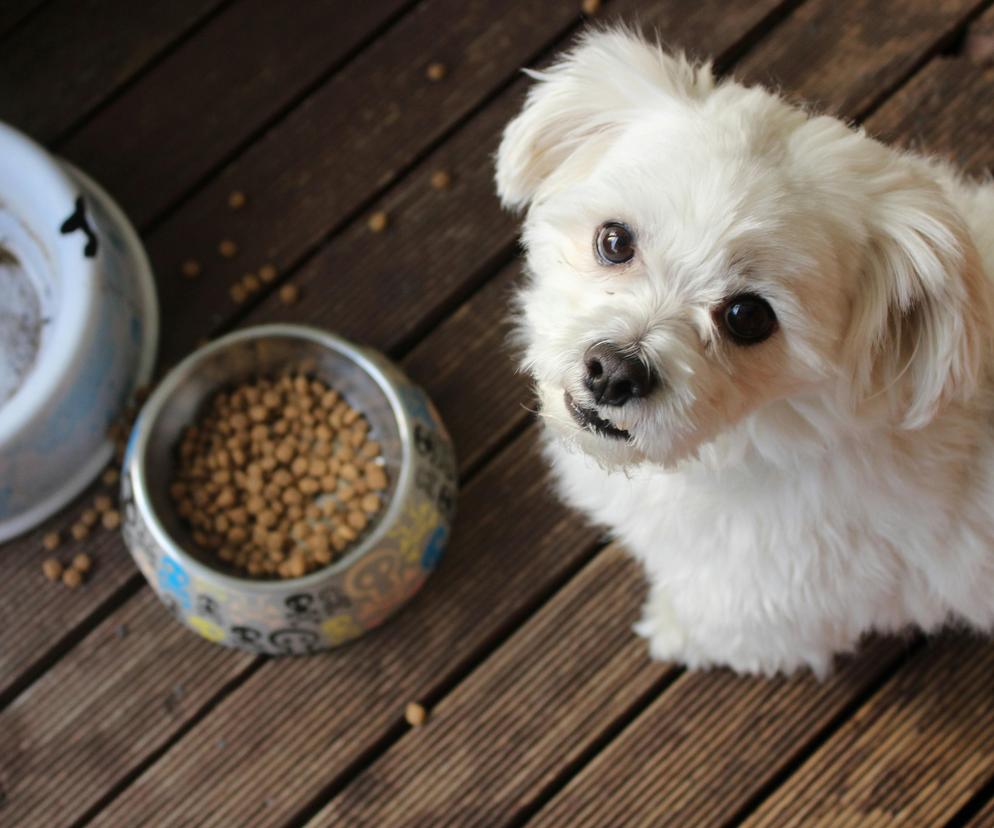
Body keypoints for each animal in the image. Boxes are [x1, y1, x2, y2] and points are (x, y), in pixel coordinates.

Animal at [496, 27, 994, 680]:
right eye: (614, 240)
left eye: (748, 317)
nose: (614, 372)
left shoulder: (774, 607)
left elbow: (718, 628)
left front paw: (669, 629)